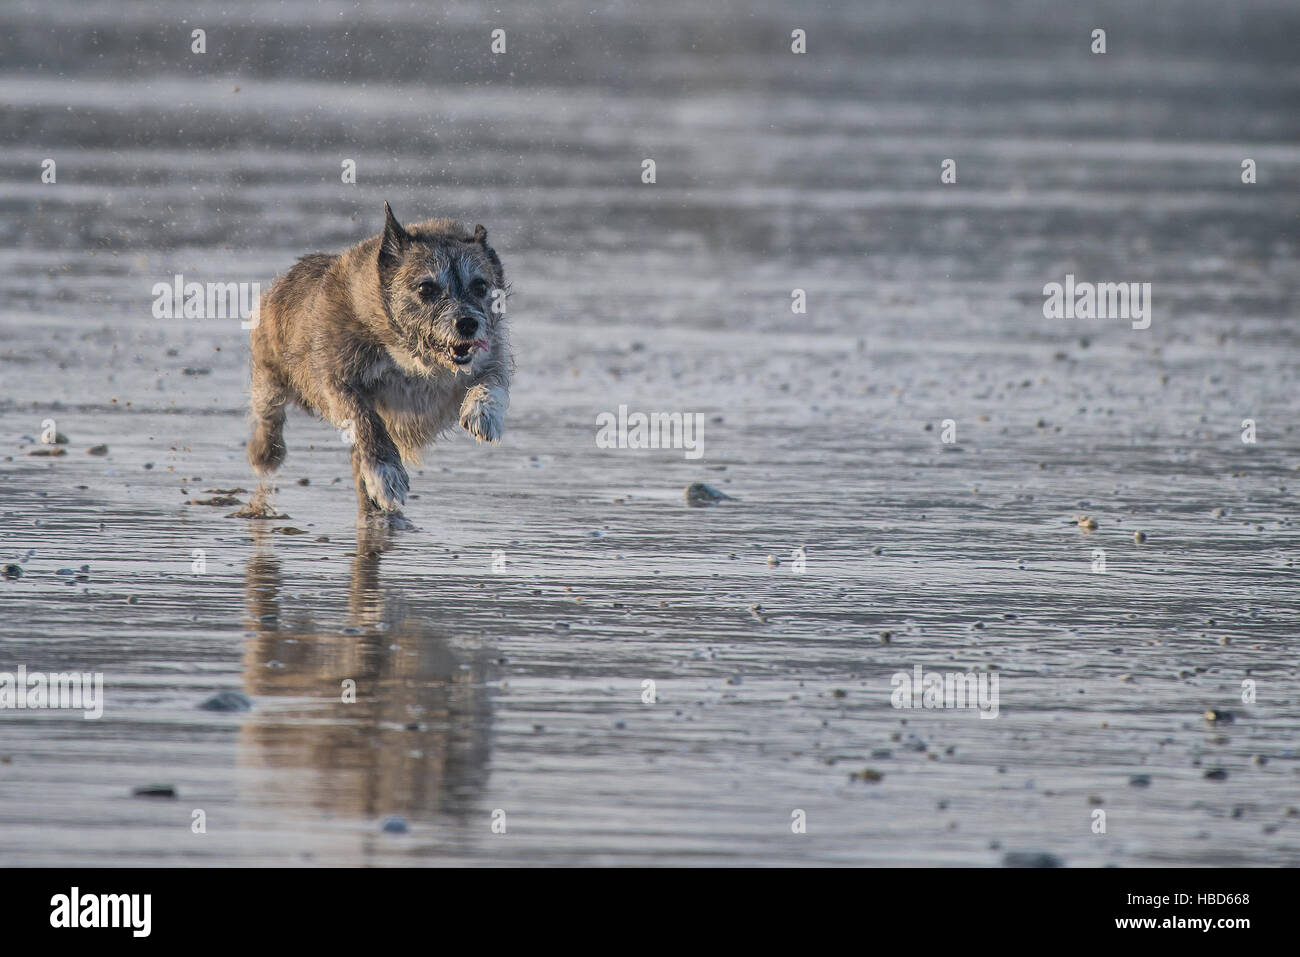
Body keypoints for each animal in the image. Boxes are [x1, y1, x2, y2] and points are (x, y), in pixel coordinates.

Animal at [245, 201, 509, 514]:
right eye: (426, 288)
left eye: (480, 286)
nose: (468, 323)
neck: (412, 359)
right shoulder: (339, 382)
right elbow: (365, 420)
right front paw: (385, 473)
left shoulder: (487, 357)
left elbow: (494, 380)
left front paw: (483, 413)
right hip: (270, 371)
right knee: (268, 411)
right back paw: (265, 452)